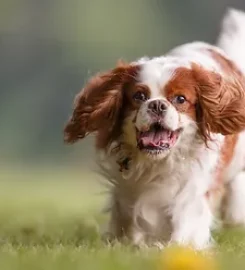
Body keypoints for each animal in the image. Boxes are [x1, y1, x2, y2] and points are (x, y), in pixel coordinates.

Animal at [64, 8, 245, 249]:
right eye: (139, 96)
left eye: (180, 99)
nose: (157, 104)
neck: (156, 163)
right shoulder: (127, 185)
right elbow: (126, 215)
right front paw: (125, 243)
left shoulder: (192, 186)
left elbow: (186, 220)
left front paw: (176, 247)